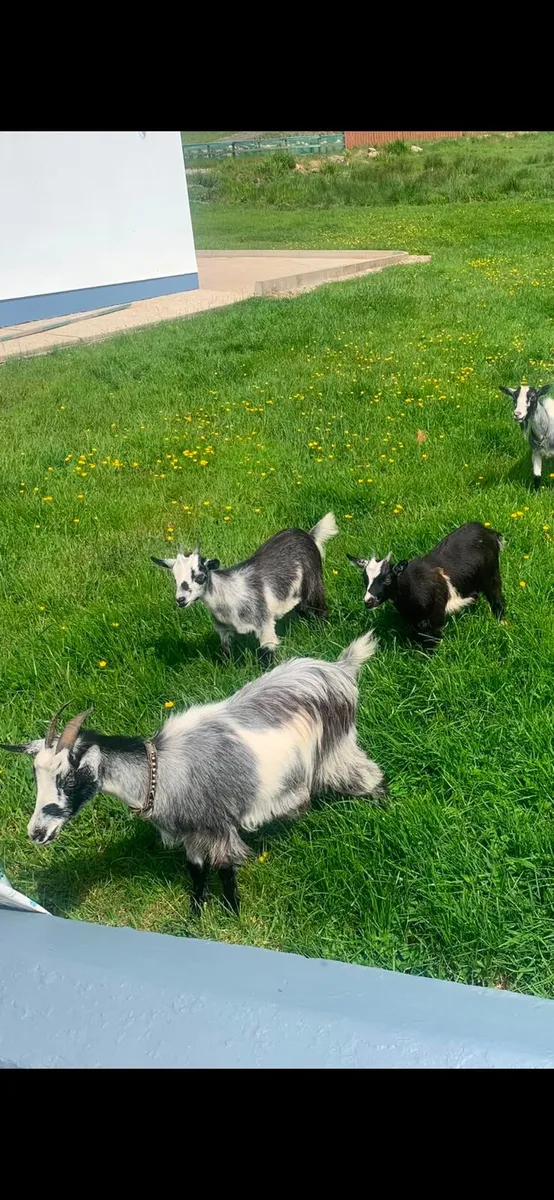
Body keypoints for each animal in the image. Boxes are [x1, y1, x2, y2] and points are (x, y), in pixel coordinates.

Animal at [0, 633, 386, 914]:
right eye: (36, 777)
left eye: (68, 778)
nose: (36, 833)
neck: (161, 772)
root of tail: (339, 668)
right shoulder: (191, 832)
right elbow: (197, 872)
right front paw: (196, 914)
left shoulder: (218, 824)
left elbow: (226, 871)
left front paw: (232, 914)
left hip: (337, 750)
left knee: (371, 776)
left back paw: (382, 810)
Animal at [151, 512, 338, 661]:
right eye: (175, 578)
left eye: (200, 577)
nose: (180, 600)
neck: (227, 596)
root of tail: (308, 535)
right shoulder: (224, 630)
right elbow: (225, 653)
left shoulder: (264, 625)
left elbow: (267, 655)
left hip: (314, 582)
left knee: (320, 608)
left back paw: (324, 632)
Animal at [348, 522, 505, 650]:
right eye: (365, 579)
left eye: (387, 579)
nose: (368, 601)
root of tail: (488, 530)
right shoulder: (413, 620)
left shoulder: (435, 617)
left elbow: (431, 642)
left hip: (492, 574)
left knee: (497, 597)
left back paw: (501, 623)